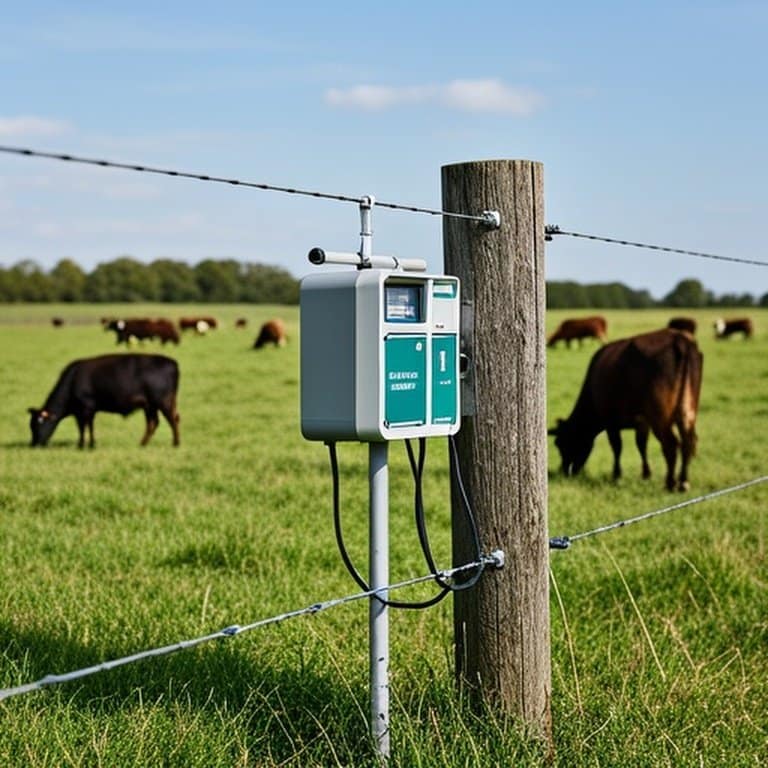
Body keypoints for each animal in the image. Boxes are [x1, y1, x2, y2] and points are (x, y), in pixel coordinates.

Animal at [28, 354, 180, 448]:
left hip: (163, 401)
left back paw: (175, 443)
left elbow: (87, 427)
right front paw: (84, 444)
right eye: (31, 425)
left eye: (37, 425)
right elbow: (83, 428)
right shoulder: (80, 412)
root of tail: (172, 362)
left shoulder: (87, 408)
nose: (34, 444)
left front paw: (87, 445)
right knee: (154, 423)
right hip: (150, 405)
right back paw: (142, 444)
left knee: (172, 420)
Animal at [548, 328, 702, 491]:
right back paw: (683, 481)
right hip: (687, 411)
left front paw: (616, 475)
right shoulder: (642, 421)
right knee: (688, 441)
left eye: (561, 444)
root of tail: (679, 339)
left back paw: (670, 483)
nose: (564, 472)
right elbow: (641, 445)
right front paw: (646, 474)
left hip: (660, 417)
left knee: (671, 444)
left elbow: (617, 447)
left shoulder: (610, 421)